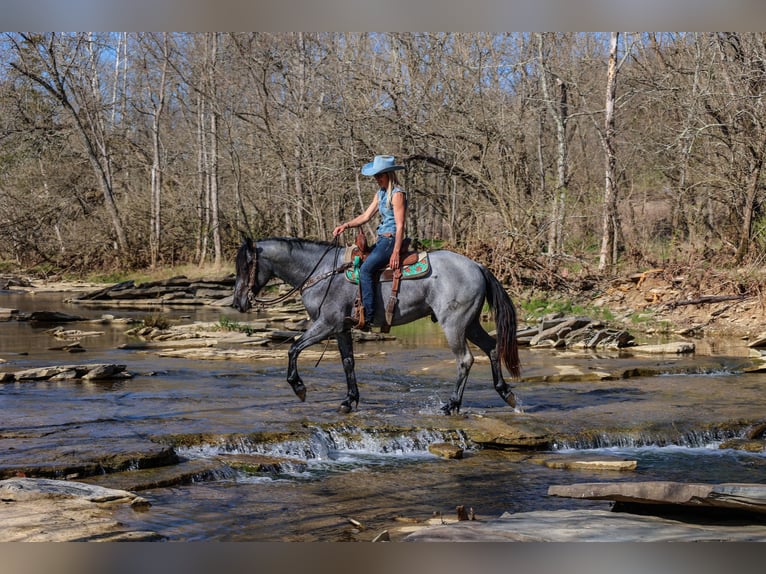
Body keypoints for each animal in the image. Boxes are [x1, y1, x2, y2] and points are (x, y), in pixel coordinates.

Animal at [234, 236, 520, 416]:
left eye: (246, 265)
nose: (238, 302)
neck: (322, 273)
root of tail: (477, 266)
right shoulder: (341, 329)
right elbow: (348, 362)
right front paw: (348, 401)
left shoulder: (326, 324)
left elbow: (293, 348)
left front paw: (299, 388)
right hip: (471, 323)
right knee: (492, 348)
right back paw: (506, 394)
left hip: (454, 324)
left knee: (465, 360)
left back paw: (452, 405)